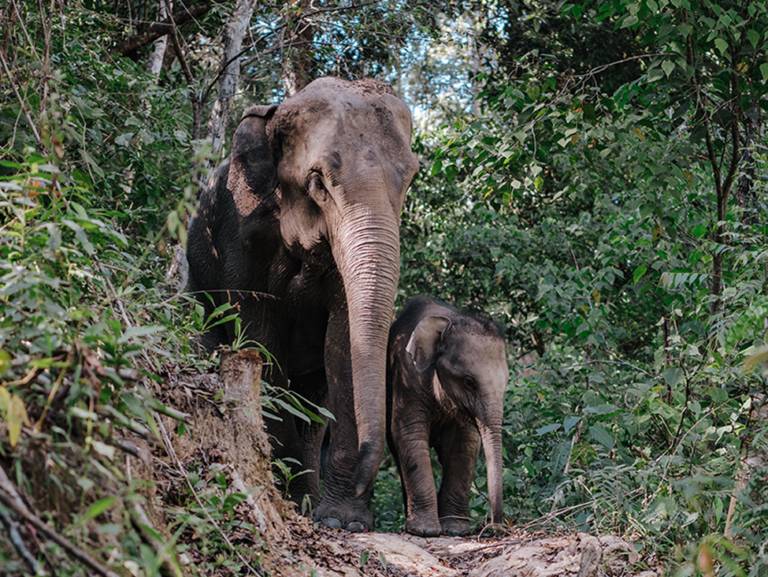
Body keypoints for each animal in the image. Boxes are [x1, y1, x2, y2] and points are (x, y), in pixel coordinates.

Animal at [188, 77, 420, 532]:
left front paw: (343, 521)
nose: (366, 483)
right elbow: (260, 340)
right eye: (319, 183)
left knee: (314, 402)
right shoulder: (238, 238)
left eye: (408, 180)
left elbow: (342, 344)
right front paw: (298, 503)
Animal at [388, 296, 508, 536]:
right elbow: (408, 432)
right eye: (469, 382)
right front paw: (424, 530)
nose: (494, 527)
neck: (449, 322)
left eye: (506, 384)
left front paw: (456, 530)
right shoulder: (407, 376)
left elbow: (464, 443)